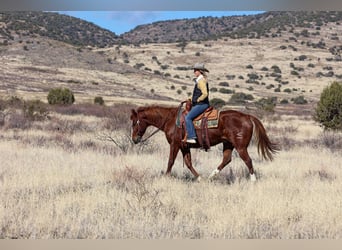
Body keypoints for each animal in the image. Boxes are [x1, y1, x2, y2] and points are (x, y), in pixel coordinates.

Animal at [130, 103, 278, 182]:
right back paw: (211, 176)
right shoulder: (185, 146)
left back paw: (253, 181)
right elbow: (188, 163)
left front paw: (166, 177)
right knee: (227, 159)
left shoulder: (175, 144)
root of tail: (247, 116)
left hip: (241, 147)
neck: (170, 120)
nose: (134, 139)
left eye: (135, 122)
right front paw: (199, 178)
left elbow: (170, 161)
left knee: (248, 160)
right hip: (228, 144)